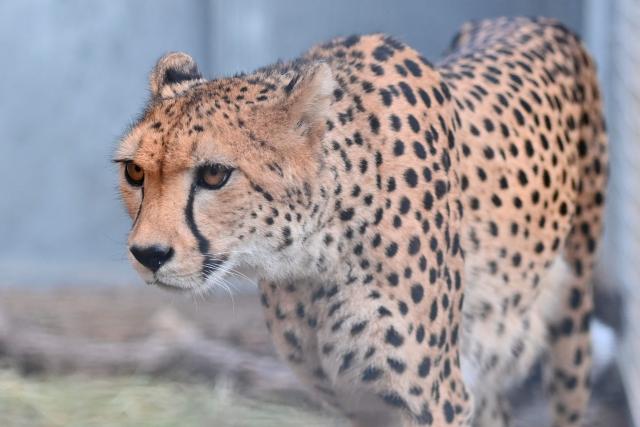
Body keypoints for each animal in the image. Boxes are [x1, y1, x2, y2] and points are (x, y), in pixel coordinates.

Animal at [115, 17, 607, 427]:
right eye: (135, 172)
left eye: (215, 174)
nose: (148, 254)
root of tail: (532, 19)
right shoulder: (357, 401)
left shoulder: (434, 399)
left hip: (572, 325)